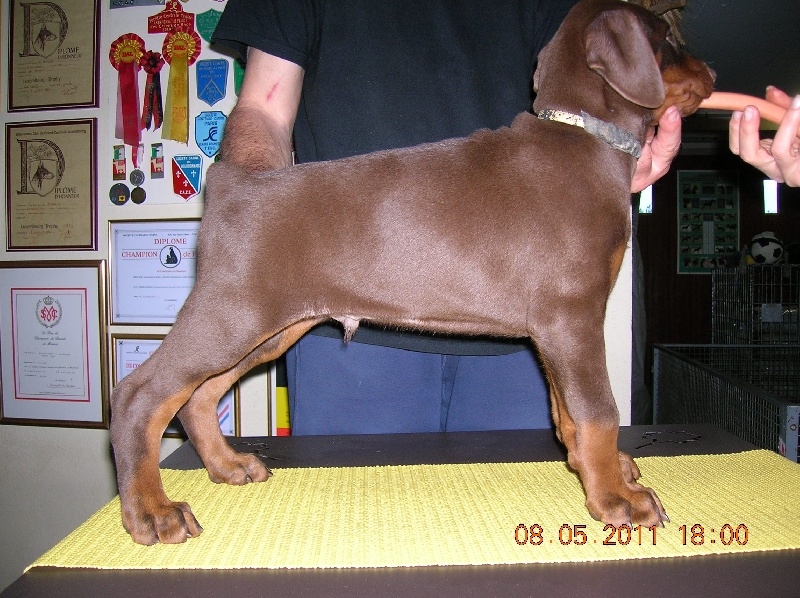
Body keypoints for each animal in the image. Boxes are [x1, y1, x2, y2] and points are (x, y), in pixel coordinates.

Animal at [110, 0, 715, 545]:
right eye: (667, 37)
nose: (711, 72)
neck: (587, 134)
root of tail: (232, 187)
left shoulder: (556, 330)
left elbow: (566, 413)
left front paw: (602, 470)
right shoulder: (574, 315)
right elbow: (597, 410)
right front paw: (616, 499)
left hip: (269, 325)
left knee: (198, 394)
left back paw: (227, 465)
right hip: (234, 311)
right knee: (140, 393)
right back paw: (152, 513)